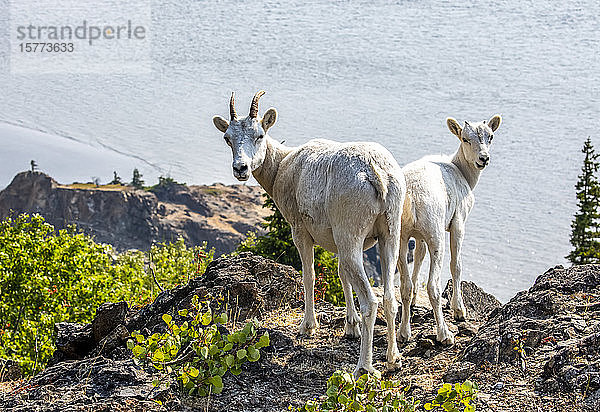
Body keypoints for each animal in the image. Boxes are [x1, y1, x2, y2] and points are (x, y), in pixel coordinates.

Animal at [213, 91, 406, 376]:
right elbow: (342, 276)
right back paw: (394, 359)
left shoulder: (300, 231)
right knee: (390, 298)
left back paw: (364, 367)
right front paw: (350, 328)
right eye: (228, 138)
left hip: (351, 236)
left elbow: (309, 276)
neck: (281, 168)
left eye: (259, 134)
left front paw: (307, 327)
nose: (241, 169)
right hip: (389, 234)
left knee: (371, 301)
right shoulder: (337, 240)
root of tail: (377, 173)